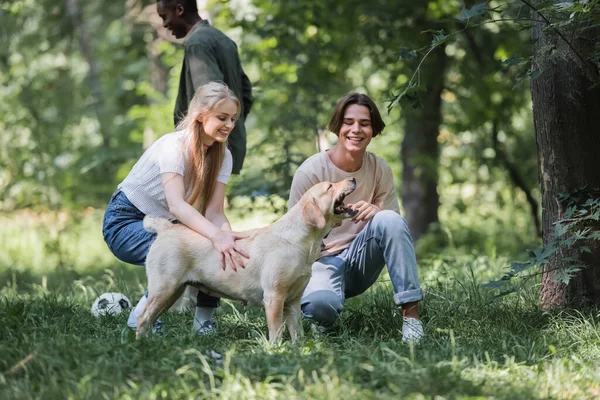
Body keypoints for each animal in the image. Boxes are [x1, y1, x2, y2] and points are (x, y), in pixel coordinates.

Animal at [137, 178, 356, 344]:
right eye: (329, 186)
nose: (352, 178)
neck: (302, 241)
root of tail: (166, 228)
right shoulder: (274, 297)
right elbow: (276, 330)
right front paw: (277, 350)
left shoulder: (293, 300)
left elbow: (297, 331)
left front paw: (299, 350)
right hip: (165, 288)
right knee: (143, 318)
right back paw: (143, 345)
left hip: (172, 292)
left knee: (150, 319)